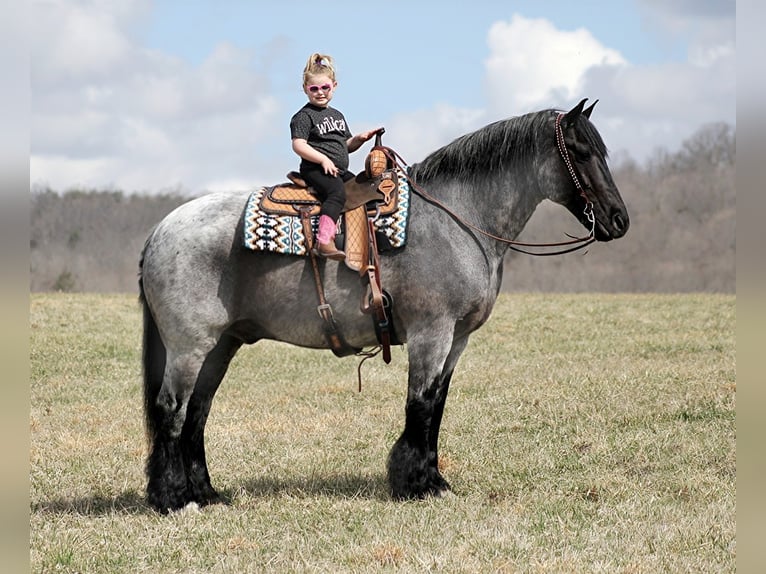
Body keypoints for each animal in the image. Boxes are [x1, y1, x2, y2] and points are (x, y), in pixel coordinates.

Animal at [138, 98, 632, 512]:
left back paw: (205, 493)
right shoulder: (431, 334)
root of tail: (161, 230)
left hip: (221, 345)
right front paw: (415, 484)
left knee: (197, 412)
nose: (619, 219)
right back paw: (174, 498)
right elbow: (420, 404)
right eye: (581, 153)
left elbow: (437, 404)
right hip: (189, 347)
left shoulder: (456, 340)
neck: (456, 219)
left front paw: (433, 480)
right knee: (171, 409)